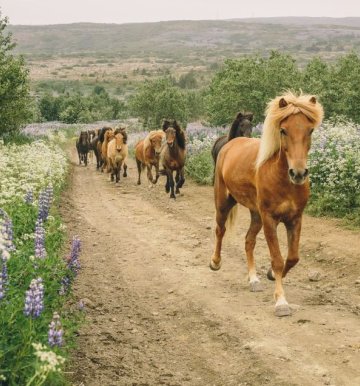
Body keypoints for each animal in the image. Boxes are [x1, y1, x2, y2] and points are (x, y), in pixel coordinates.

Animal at [211, 92, 324, 316]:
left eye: (310, 130)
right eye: (283, 130)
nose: (298, 173)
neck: (282, 179)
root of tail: (231, 143)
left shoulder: (295, 219)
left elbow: (293, 257)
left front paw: (270, 275)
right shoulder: (270, 219)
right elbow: (278, 259)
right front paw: (281, 302)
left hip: (256, 215)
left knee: (249, 241)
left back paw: (253, 280)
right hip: (223, 202)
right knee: (220, 230)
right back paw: (215, 262)